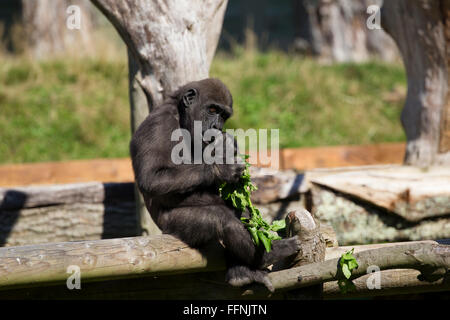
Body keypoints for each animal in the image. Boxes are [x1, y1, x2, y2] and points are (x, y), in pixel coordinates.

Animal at [130, 78, 298, 292]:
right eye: (212, 109)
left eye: (224, 115)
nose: (216, 126)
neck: (180, 117)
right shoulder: (158, 125)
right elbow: (152, 177)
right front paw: (221, 167)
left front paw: (228, 145)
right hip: (171, 226)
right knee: (222, 220)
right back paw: (268, 255)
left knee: (241, 214)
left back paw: (241, 272)